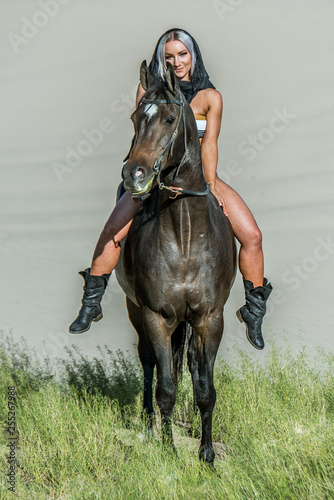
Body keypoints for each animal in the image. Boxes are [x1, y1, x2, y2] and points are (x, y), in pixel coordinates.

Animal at [116, 59, 236, 464]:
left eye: (170, 119)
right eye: (135, 117)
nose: (133, 174)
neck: (184, 236)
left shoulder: (209, 318)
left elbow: (205, 389)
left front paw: (207, 454)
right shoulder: (156, 316)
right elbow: (166, 388)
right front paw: (168, 451)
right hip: (135, 311)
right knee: (149, 363)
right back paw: (148, 422)